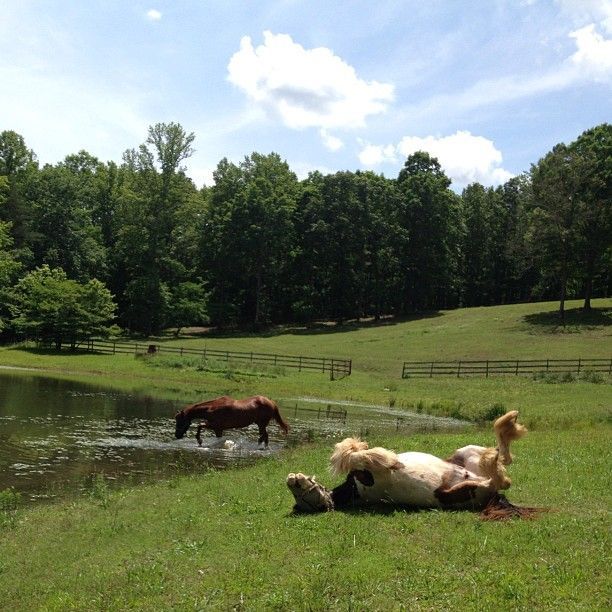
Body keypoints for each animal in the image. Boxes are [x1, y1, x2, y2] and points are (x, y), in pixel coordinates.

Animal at [286, 408, 536, 520]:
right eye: (302, 499)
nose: (291, 479)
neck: (356, 490)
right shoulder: (369, 475)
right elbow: (355, 456)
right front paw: (388, 458)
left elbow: (351, 449)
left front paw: (363, 446)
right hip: (474, 487)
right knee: (501, 473)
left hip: (465, 453)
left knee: (501, 455)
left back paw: (508, 422)